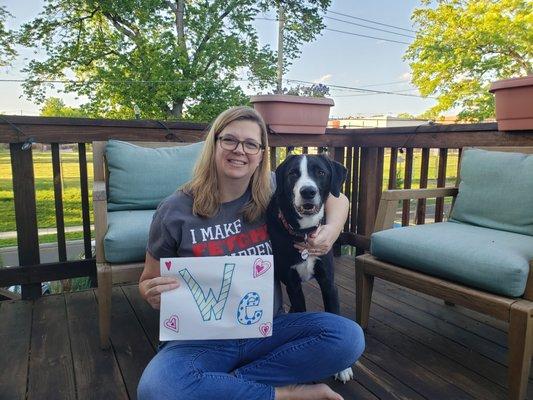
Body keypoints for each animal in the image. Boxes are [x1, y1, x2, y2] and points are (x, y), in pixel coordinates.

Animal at [268, 152, 352, 382]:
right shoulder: (293, 285)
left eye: (320, 172)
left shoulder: (328, 283)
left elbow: (335, 315)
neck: (304, 233)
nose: (308, 191)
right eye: (293, 174)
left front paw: (342, 367)